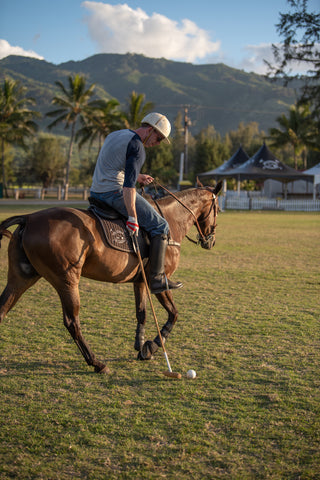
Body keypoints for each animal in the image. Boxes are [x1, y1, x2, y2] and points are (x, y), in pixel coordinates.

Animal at [0, 180, 221, 372]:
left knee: (3, 308)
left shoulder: (140, 281)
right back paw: (96, 363)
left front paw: (140, 346)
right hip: (66, 280)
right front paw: (152, 346)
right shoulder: (159, 281)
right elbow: (173, 313)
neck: (171, 218)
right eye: (218, 209)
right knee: (72, 322)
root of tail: (28, 218)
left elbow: (142, 313)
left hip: (21, 278)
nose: (210, 241)